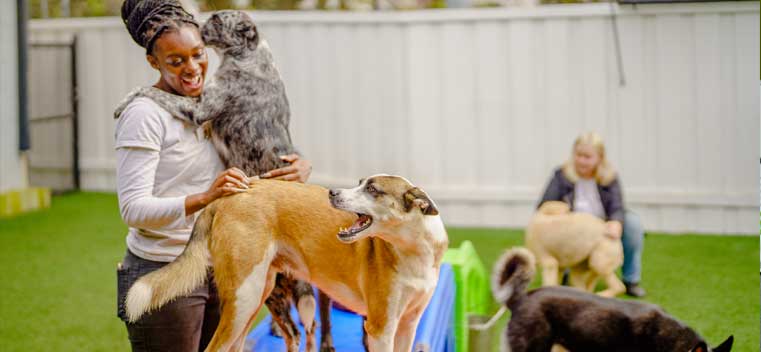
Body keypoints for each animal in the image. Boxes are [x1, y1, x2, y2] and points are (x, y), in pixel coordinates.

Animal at [123, 175, 446, 352]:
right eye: (360, 184)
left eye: (373, 190)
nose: (332, 193)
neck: (413, 249)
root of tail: (231, 195)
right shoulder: (380, 327)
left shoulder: (408, 325)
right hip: (244, 298)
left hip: (256, 296)